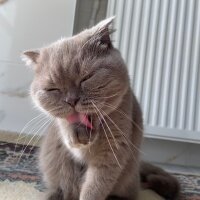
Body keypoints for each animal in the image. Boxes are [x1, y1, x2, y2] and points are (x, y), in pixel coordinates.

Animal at [21, 17, 180, 200]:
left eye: (86, 78)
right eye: (53, 89)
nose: (71, 100)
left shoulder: (112, 151)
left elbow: (95, 187)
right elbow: (66, 127)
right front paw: (74, 133)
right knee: (60, 189)